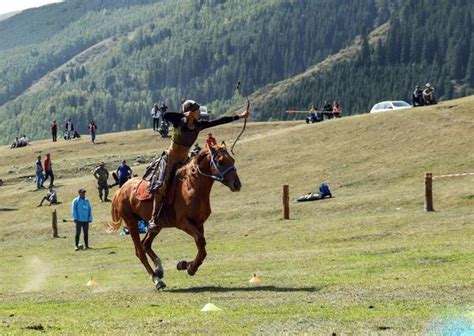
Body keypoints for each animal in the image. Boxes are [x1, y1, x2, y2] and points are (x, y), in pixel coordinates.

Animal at [107, 144, 241, 288]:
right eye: (221, 162)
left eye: (232, 160)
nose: (237, 184)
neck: (192, 187)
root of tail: (120, 190)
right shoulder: (184, 223)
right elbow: (200, 241)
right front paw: (190, 267)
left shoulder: (199, 223)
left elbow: (202, 247)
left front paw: (185, 265)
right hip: (132, 223)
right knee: (140, 251)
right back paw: (156, 279)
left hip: (156, 225)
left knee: (145, 244)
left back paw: (159, 269)